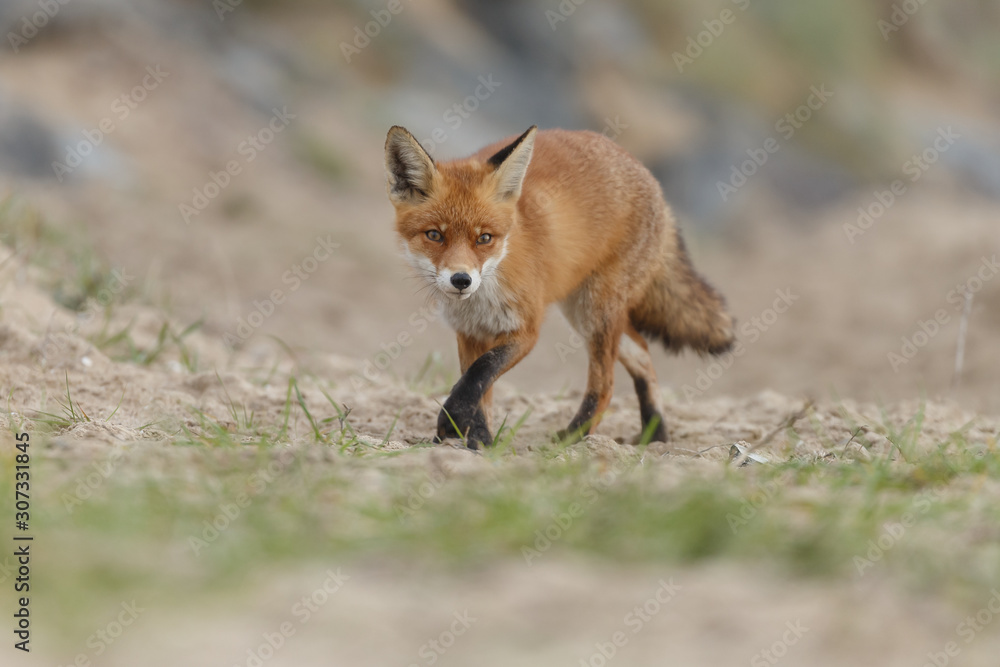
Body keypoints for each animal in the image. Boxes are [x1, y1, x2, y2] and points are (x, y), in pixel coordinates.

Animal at [384, 125, 734, 449]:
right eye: (434, 235)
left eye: (484, 238)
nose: (461, 280)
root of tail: (644, 171)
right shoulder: (470, 332)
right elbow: (479, 389)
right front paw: (480, 438)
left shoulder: (525, 331)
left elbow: (477, 376)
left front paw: (453, 424)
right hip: (585, 314)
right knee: (642, 352)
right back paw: (656, 434)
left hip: (596, 314)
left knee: (606, 385)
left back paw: (574, 438)